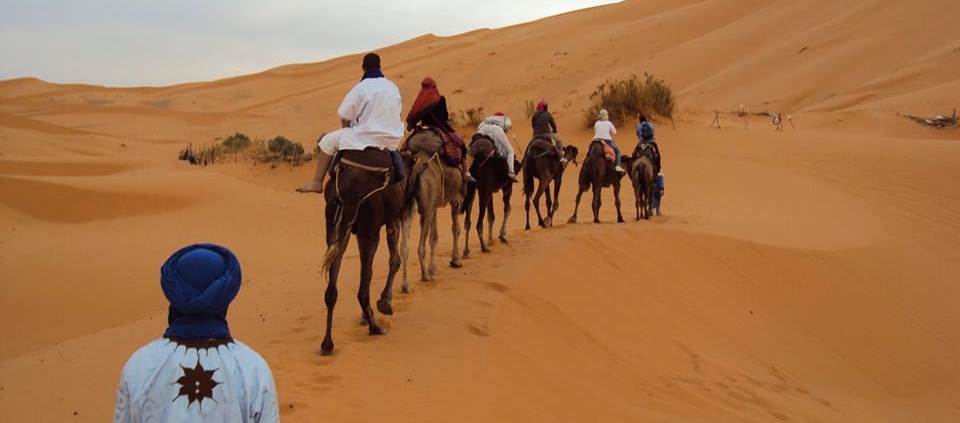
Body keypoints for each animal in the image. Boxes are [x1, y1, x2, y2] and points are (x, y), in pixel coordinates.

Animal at [316, 147, 404, 356]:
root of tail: (352, 190)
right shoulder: (393, 219)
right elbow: (395, 260)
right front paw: (385, 303)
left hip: (335, 222)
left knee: (332, 285)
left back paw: (327, 344)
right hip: (369, 225)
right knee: (363, 285)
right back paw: (376, 327)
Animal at [398, 131, 464, 294]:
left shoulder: (434, 206)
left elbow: (434, 236)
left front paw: (433, 268)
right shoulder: (456, 200)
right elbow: (456, 229)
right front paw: (455, 260)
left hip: (407, 208)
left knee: (404, 247)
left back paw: (406, 285)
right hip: (426, 209)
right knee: (420, 246)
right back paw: (425, 276)